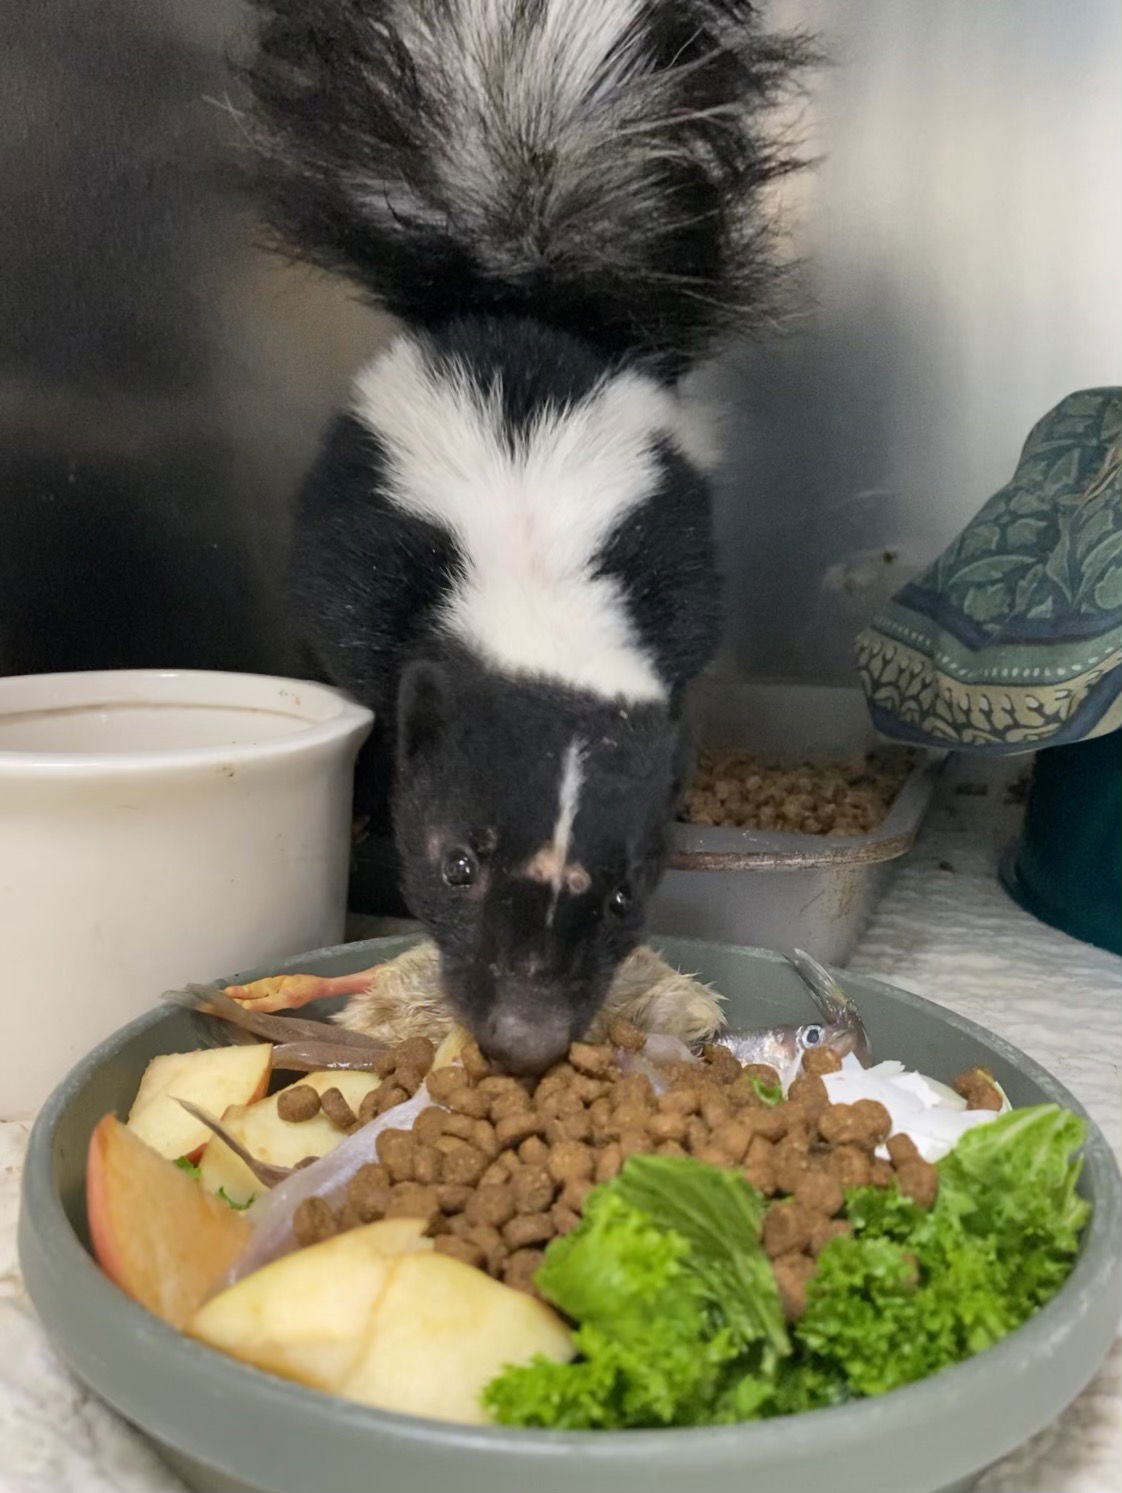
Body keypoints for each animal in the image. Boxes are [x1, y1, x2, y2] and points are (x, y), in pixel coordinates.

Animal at [241, 0, 811, 1074]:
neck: (535, 555)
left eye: (627, 892)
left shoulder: (667, 575)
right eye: (457, 861)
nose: (526, 1032)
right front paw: (376, 798)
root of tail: (520, 299)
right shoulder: (377, 577)